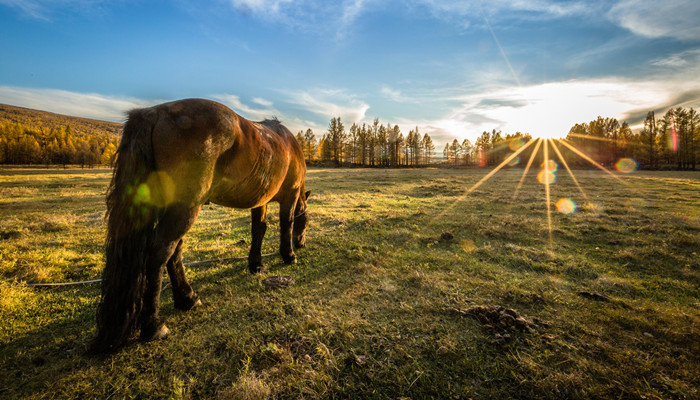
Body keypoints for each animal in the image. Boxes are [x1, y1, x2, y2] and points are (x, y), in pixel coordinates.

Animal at [90, 97, 308, 354]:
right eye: (306, 221)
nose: (301, 244)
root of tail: (154, 113)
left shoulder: (260, 200)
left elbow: (259, 230)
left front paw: (256, 264)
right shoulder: (290, 195)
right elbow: (287, 224)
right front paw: (289, 255)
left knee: (174, 251)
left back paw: (187, 298)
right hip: (186, 208)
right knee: (160, 252)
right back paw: (154, 325)